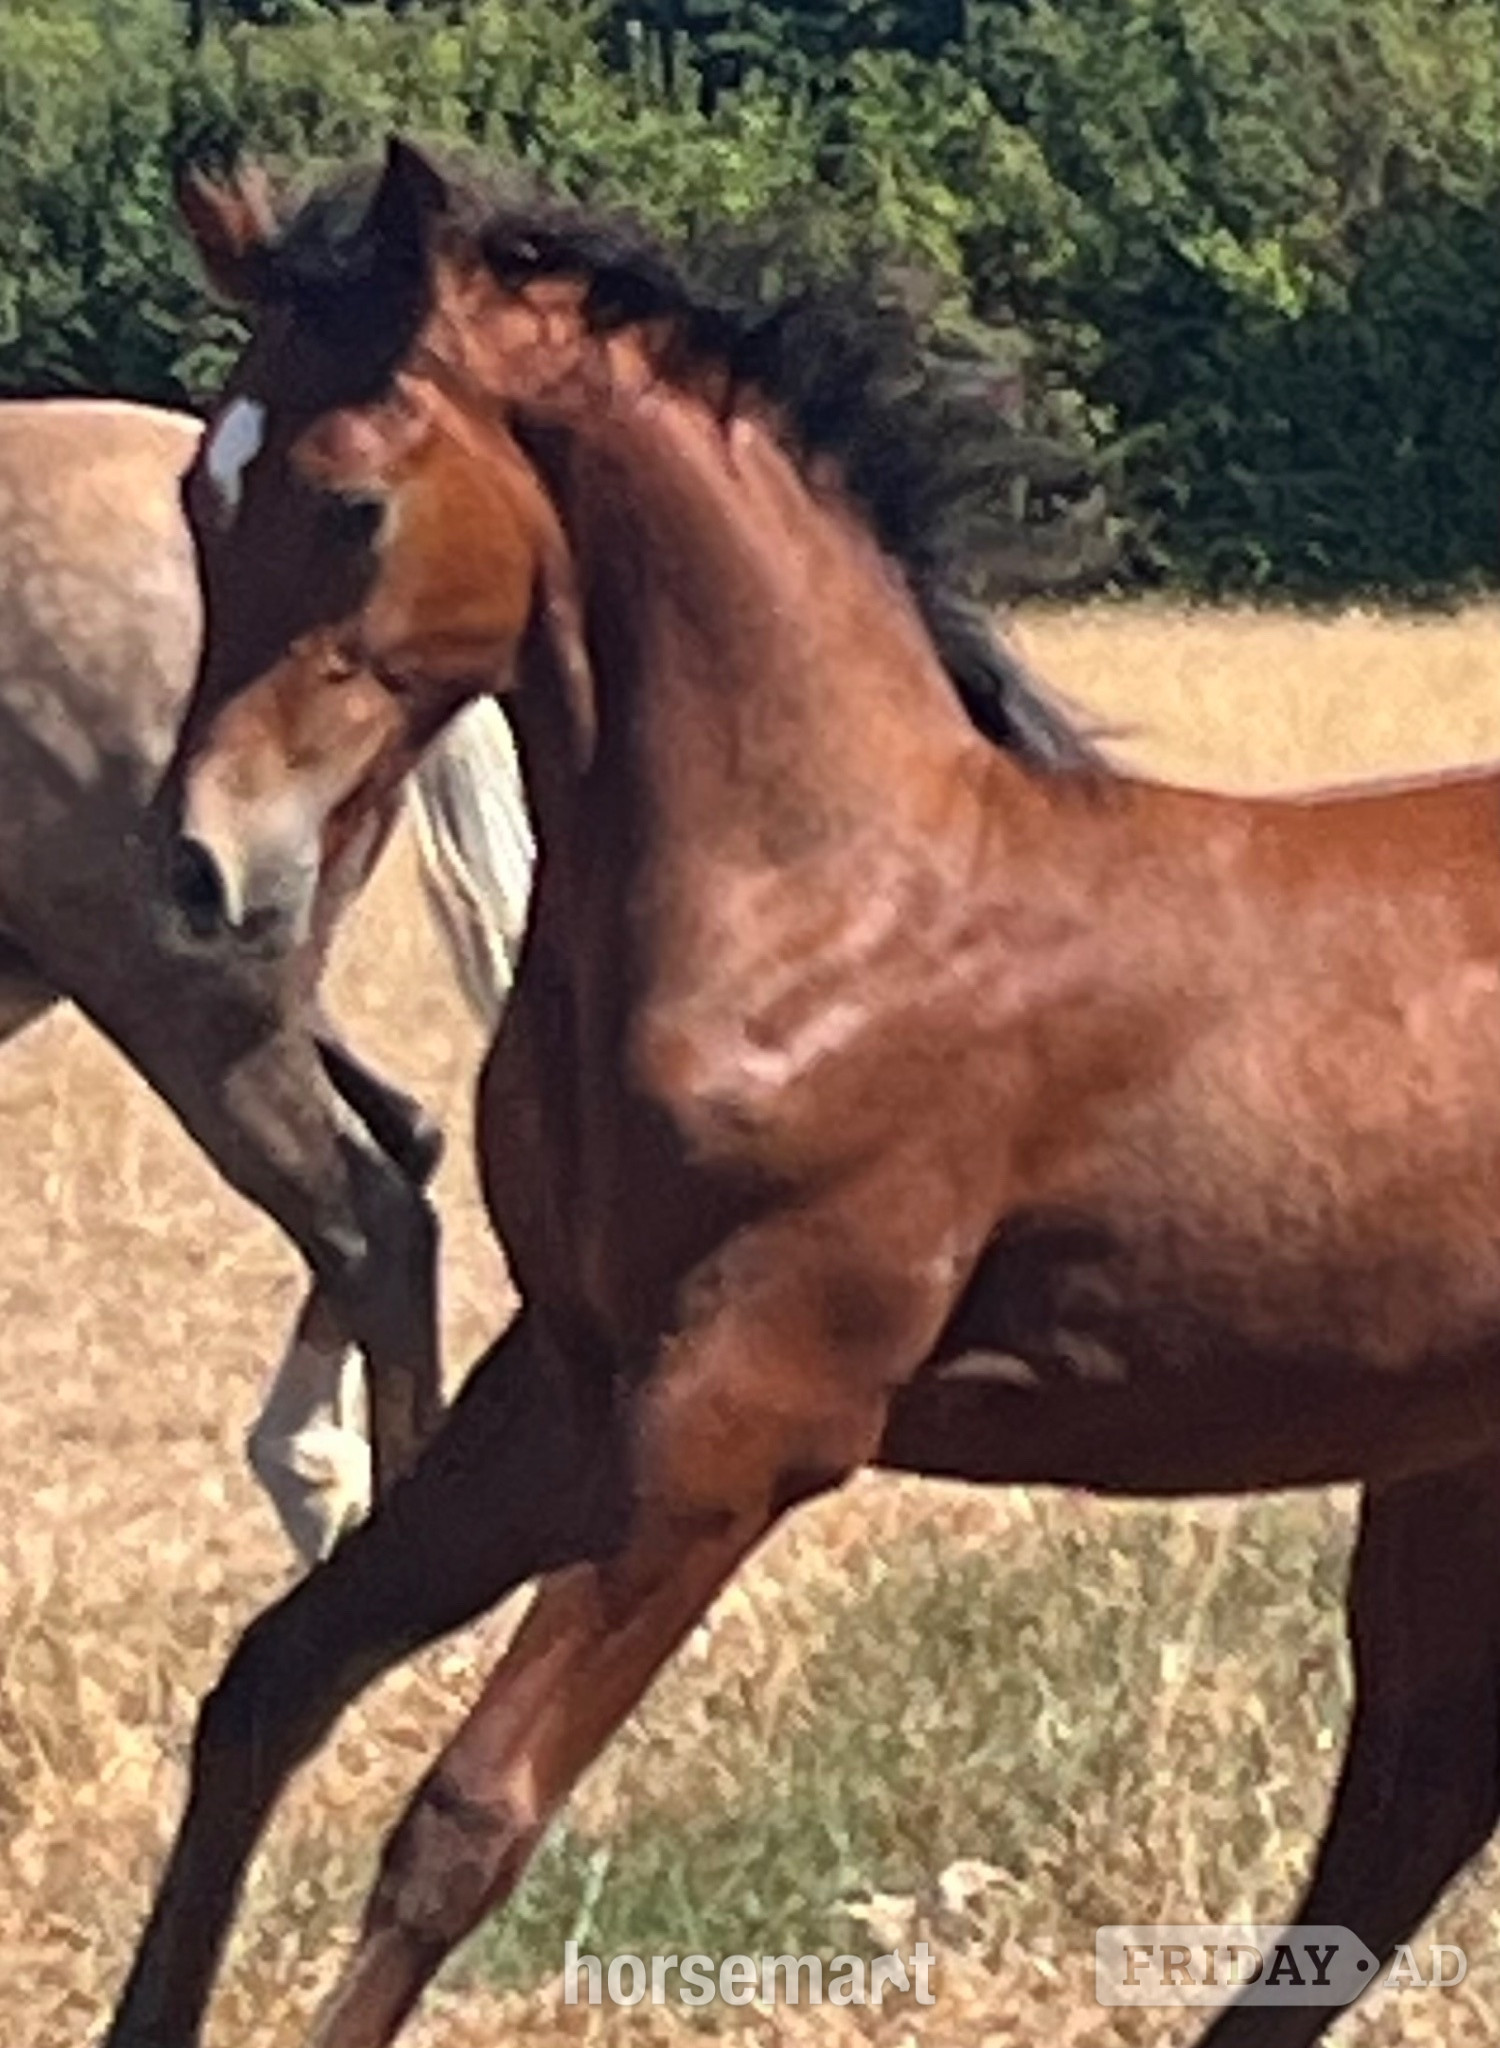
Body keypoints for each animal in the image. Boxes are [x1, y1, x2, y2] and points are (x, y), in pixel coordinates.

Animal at [105, 141, 1500, 2048]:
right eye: (197, 489)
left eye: (350, 505)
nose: (197, 870)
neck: (821, 906)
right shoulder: (568, 1383)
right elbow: (270, 1677)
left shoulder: (741, 1419)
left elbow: (460, 1821)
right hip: (1445, 1470)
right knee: (1409, 1806)